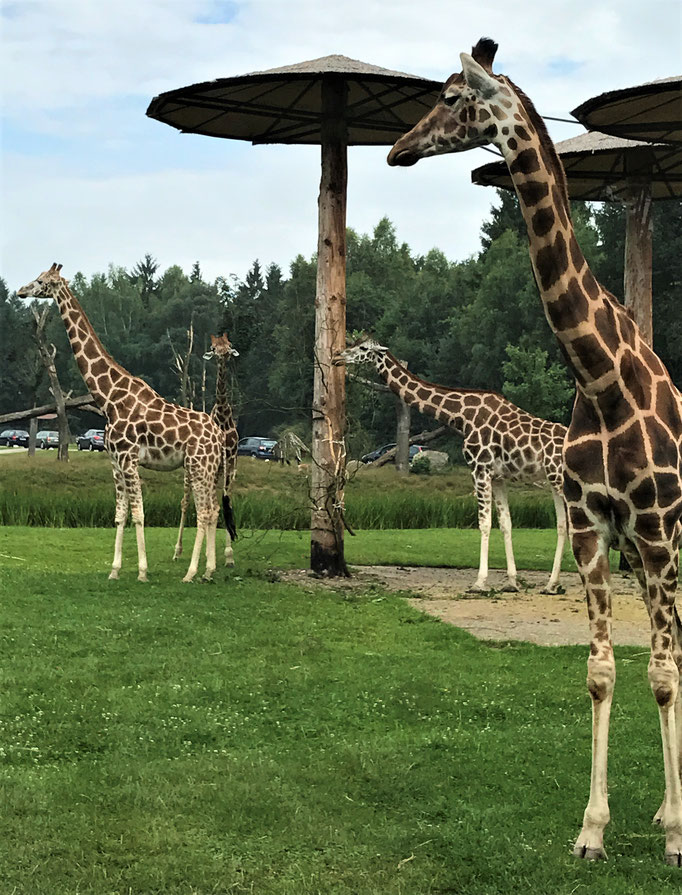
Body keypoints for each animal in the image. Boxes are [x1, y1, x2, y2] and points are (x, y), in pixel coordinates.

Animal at [17, 264, 231, 588]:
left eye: (41, 281)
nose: (20, 291)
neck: (108, 397)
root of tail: (218, 436)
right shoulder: (115, 462)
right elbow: (120, 513)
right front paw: (115, 569)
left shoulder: (129, 459)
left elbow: (139, 513)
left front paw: (142, 571)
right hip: (208, 468)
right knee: (213, 509)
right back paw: (208, 569)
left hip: (198, 466)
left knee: (205, 511)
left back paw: (191, 572)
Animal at [173, 336, 239, 568]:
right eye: (213, 348)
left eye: (229, 348)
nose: (221, 355)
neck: (224, 418)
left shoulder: (231, 463)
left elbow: (225, 501)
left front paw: (229, 555)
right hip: (189, 471)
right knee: (185, 502)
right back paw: (178, 551)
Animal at [334, 336, 564, 596]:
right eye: (353, 343)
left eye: (363, 348)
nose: (337, 357)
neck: (461, 417)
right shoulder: (497, 476)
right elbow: (506, 523)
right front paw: (511, 582)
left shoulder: (479, 468)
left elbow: (484, 523)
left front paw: (479, 582)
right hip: (556, 482)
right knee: (563, 525)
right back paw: (551, 584)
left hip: (563, 481)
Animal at [386, 38, 680, 864]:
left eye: (453, 97)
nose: (396, 148)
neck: (602, 378)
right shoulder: (594, 527)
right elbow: (603, 670)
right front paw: (594, 828)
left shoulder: (655, 527)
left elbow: (662, 672)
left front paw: (676, 834)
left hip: (674, 540)